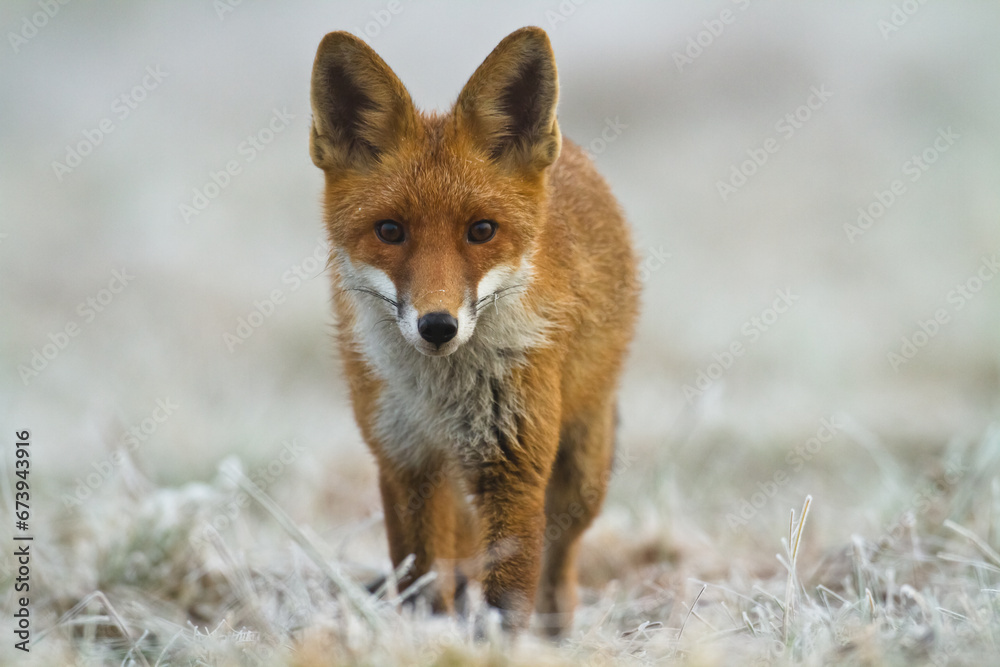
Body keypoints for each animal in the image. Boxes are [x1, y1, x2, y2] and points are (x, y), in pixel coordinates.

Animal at [308, 26, 639, 635]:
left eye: (481, 231)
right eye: (390, 231)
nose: (437, 325)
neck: (440, 396)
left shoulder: (513, 468)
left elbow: (508, 598)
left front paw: (500, 645)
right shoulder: (404, 461)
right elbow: (419, 581)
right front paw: (424, 636)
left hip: (581, 477)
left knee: (560, 567)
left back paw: (558, 637)